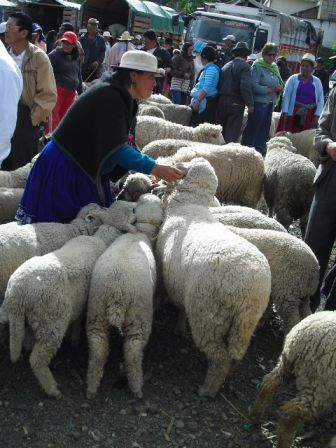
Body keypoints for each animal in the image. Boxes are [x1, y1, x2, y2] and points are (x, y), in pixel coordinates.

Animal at [0, 201, 137, 398]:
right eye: (128, 213)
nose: (136, 206)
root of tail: (18, 293)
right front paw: (75, 337)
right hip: (52, 324)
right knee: (37, 360)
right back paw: (52, 389)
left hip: (11, 310)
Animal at [86, 194, 163, 398]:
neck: (138, 234)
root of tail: (116, 292)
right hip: (139, 317)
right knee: (133, 351)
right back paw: (136, 387)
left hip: (96, 311)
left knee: (97, 347)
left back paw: (91, 387)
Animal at [156, 159, 272, 398]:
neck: (189, 205)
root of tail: (250, 291)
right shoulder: (182, 285)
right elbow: (182, 308)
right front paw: (179, 326)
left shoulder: (169, 277)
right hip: (245, 324)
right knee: (235, 356)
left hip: (209, 315)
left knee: (220, 357)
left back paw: (207, 389)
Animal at [251, 312, 336, 448]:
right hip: (321, 384)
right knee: (293, 413)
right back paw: (284, 443)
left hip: (286, 365)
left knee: (269, 384)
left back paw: (255, 416)